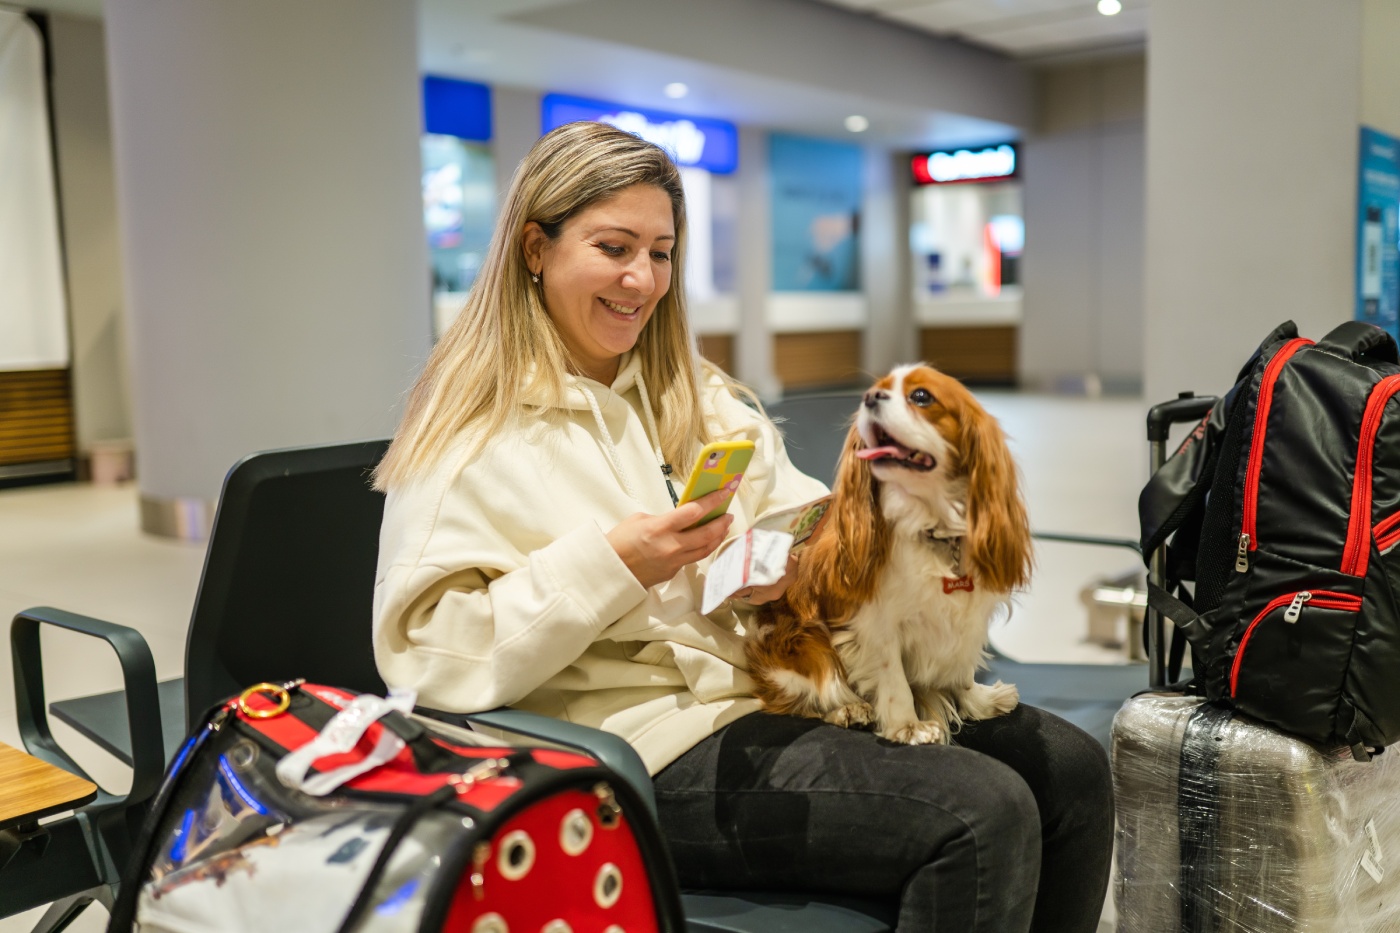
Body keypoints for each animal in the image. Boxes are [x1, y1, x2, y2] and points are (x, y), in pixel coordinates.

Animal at [750, 364, 1036, 739]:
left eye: (921, 396)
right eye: (873, 391)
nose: (870, 397)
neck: (930, 525)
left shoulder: (965, 620)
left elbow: (961, 670)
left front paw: (979, 702)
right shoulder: (876, 626)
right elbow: (894, 679)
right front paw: (909, 726)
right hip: (803, 644)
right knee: (800, 699)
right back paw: (847, 710)